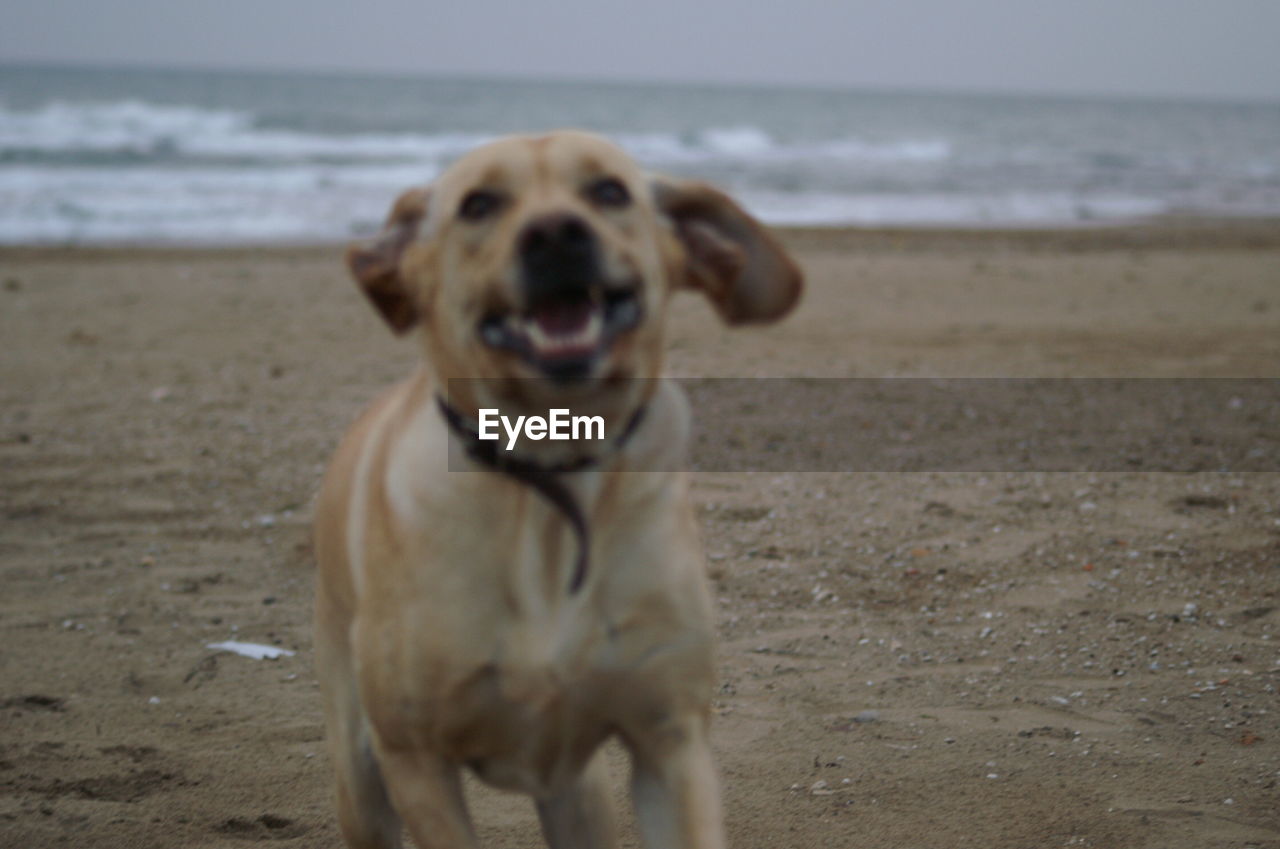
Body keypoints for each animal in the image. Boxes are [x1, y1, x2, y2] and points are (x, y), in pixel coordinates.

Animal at [314, 128, 798, 849]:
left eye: (609, 191)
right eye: (479, 204)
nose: (554, 234)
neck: (547, 476)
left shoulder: (670, 738)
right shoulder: (417, 759)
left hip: (581, 795)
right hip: (363, 776)